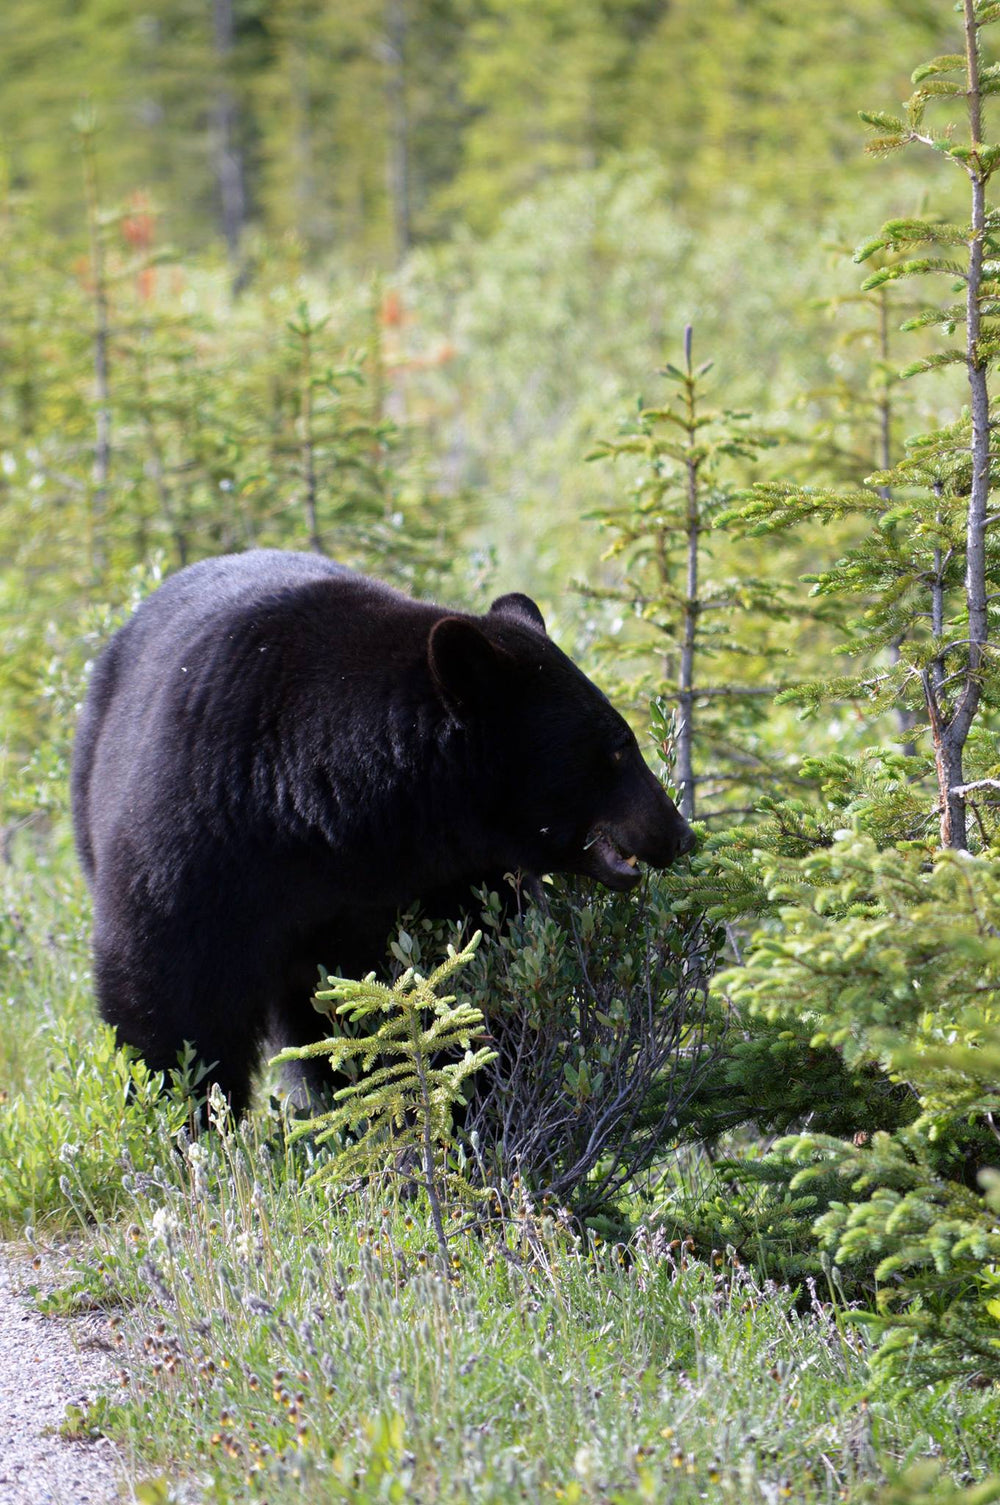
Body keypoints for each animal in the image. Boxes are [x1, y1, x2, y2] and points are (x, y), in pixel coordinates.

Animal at [72, 547, 695, 1113]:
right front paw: (184, 1117)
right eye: (618, 747)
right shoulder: (201, 836)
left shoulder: (458, 876)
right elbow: (170, 996)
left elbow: (474, 980)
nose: (680, 833)